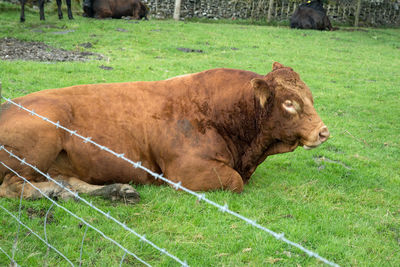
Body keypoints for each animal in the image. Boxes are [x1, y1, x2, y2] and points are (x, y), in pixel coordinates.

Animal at [0, 62, 328, 203]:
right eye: (289, 103)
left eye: (311, 96)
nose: (323, 132)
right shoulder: (186, 171)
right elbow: (235, 182)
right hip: (39, 141)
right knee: (14, 186)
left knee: (66, 180)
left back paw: (116, 191)